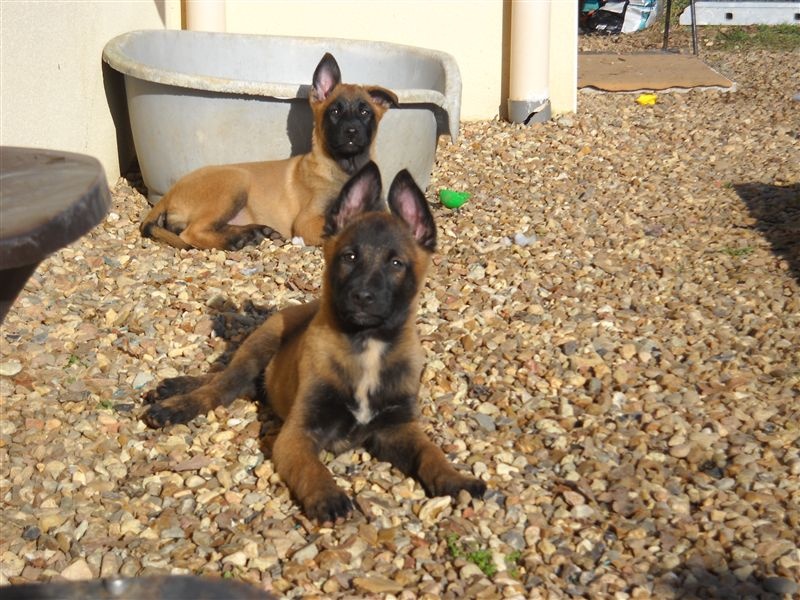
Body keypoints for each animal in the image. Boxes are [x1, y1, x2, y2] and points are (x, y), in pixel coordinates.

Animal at [139, 53, 398, 250]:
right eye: (335, 111)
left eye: (365, 112)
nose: (351, 131)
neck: (346, 168)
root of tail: (170, 193)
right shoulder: (307, 222)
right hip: (236, 181)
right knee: (192, 232)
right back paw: (236, 240)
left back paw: (251, 233)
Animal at [142, 161, 487, 523]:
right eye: (349, 257)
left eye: (396, 264)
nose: (362, 297)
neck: (367, 346)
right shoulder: (297, 434)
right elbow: (311, 468)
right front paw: (328, 496)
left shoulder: (399, 428)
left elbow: (429, 453)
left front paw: (454, 478)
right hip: (263, 339)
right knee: (221, 386)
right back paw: (174, 405)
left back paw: (173, 387)